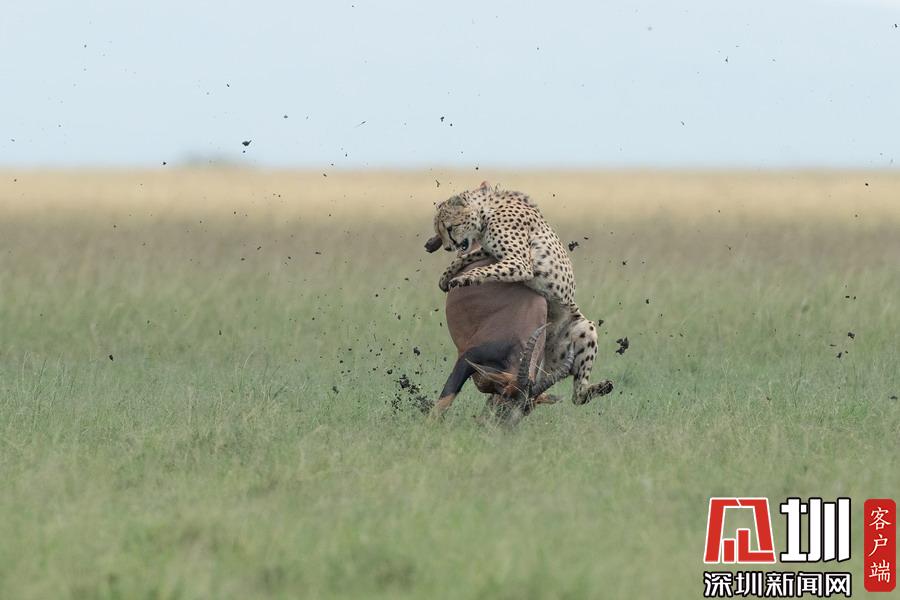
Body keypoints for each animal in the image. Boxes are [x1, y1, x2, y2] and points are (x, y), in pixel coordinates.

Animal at [428, 181, 613, 406]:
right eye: (439, 230)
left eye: (449, 227)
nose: (448, 246)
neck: (486, 211)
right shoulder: (491, 251)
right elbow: (468, 256)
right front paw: (446, 276)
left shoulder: (520, 262)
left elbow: (485, 269)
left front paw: (463, 279)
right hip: (548, 361)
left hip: (585, 328)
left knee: (578, 395)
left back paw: (603, 386)